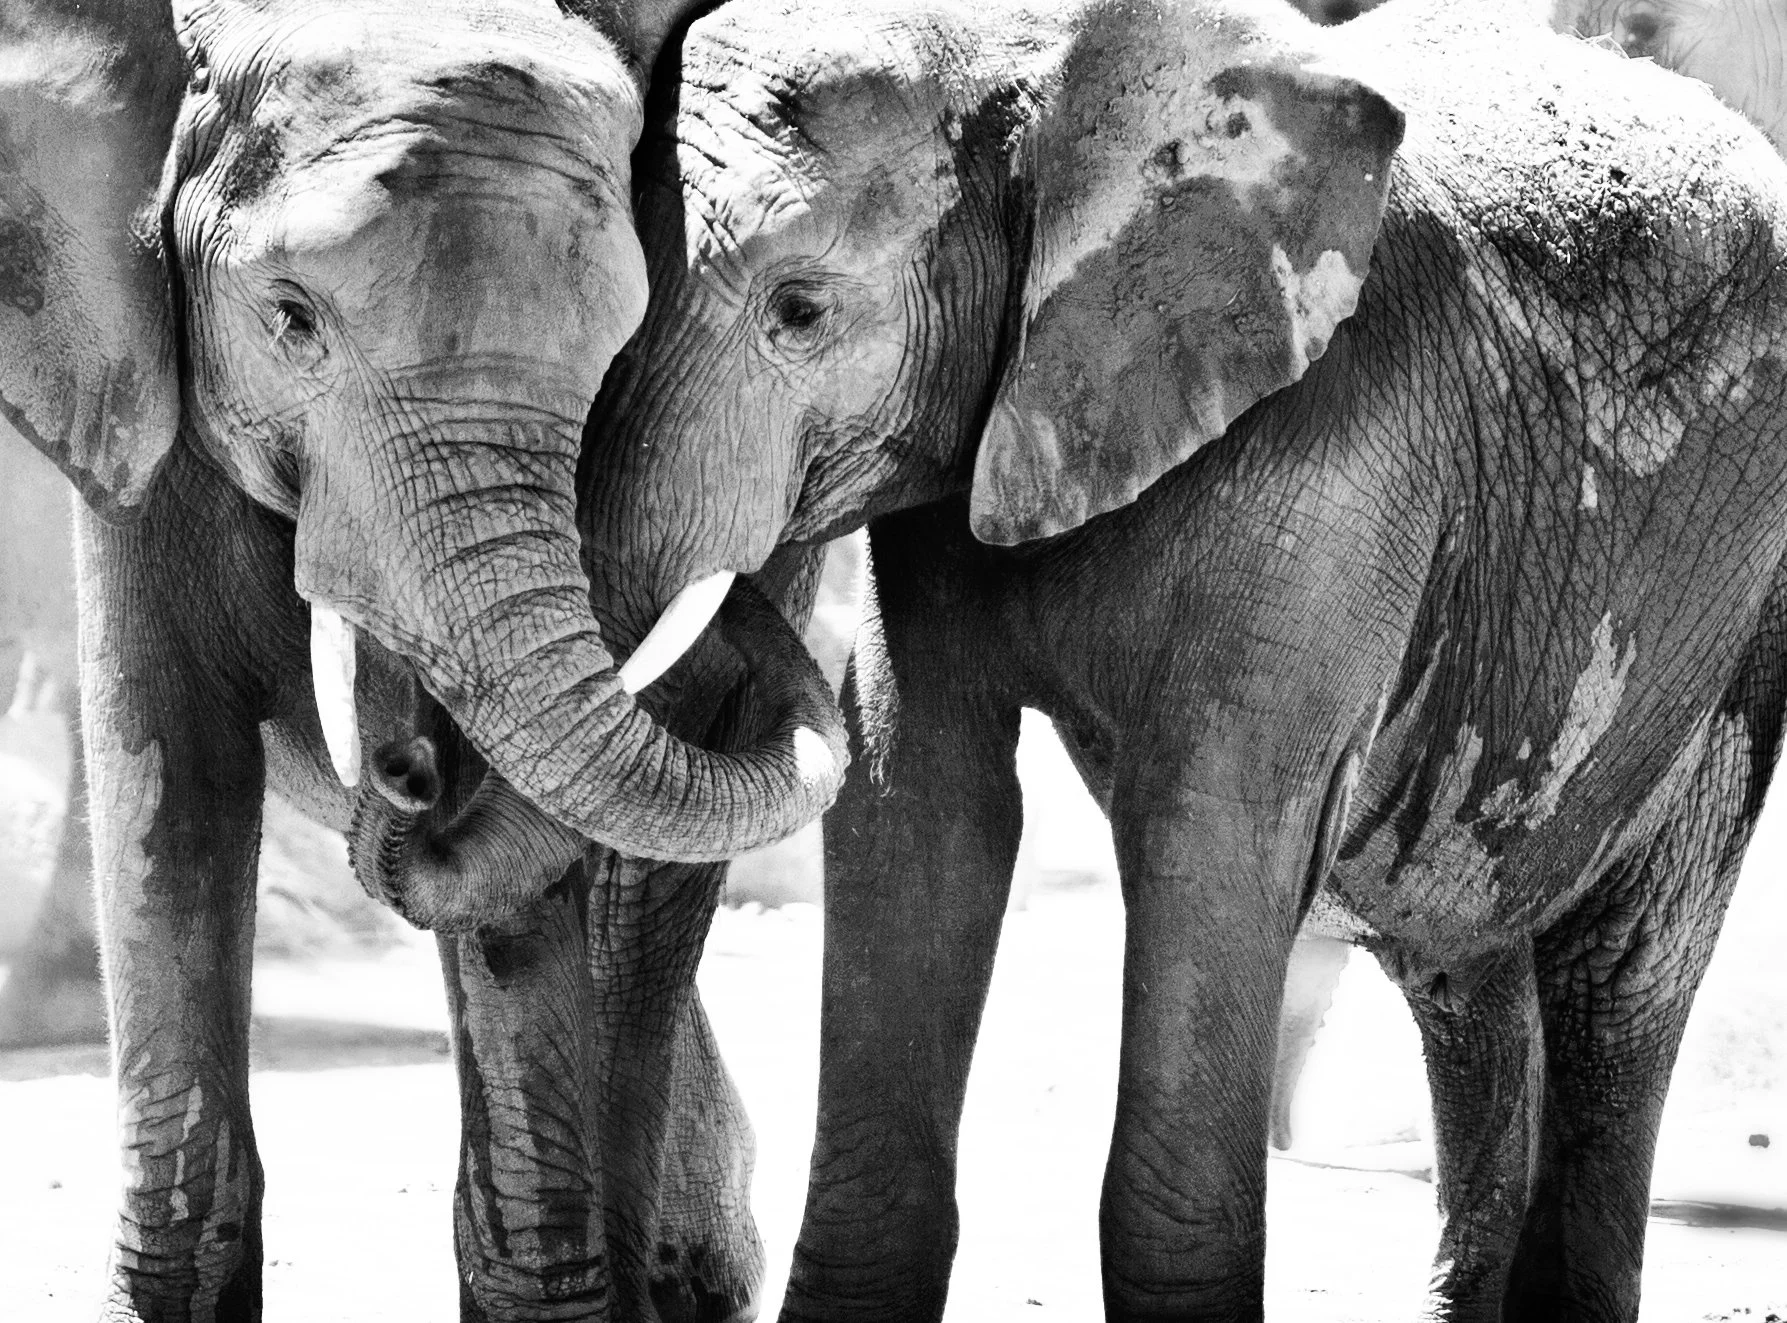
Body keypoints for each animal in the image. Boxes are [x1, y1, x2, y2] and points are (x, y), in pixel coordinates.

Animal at [419, 0, 1787, 1316]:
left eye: (798, 312)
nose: (415, 780)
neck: (1049, 66)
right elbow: (920, 808)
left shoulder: (1338, 460)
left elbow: (1207, 830)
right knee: (1461, 963)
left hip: (1743, 622)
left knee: (1623, 969)